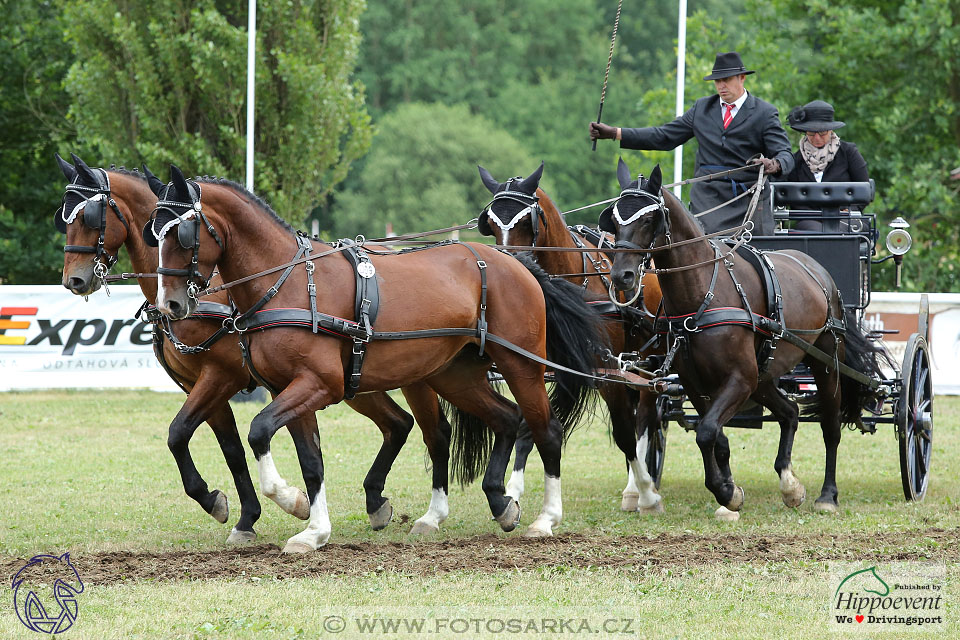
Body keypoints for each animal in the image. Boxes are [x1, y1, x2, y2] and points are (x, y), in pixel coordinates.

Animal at [53, 155, 454, 540]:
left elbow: (185, 433)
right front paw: (241, 513)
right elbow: (217, 445)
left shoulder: (222, 376)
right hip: (357, 381)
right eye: (64, 217)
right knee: (398, 423)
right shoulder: (201, 384)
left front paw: (237, 506)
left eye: (89, 217)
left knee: (433, 430)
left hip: (411, 375)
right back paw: (376, 501)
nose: (74, 280)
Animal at [151, 165, 604, 552]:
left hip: (520, 365)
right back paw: (499, 502)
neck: (289, 281)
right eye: (153, 232)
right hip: (454, 376)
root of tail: (516, 263)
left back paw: (545, 519)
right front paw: (314, 530)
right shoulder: (288, 389)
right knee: (507, 420)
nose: (170, 304)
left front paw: (291, 501)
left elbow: (259, 431)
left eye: (184, 232)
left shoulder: (318, 384)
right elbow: (311, 461)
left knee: (546, 430)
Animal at [474, 164, 664, 516]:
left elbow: (624, 433)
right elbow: (528, 426)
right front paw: (513, 490)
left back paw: (637, 487)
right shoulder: (539, 367)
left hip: (647, 361)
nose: (506, 269)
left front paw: (645, 493)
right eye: (490, 223)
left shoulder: (607, 372)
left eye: (527, 221)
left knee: (644, 418)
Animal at [608, 162, 884, 516]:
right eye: (614, 219)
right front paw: (729, 492)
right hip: (764, 375)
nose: (622, 276)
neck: (702, 293)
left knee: (830, 428)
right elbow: (715, 437)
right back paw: (789, 484)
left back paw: (827, 495)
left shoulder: (739, 379)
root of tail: (818, 271)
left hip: (825, 362)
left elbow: (707, 432)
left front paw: (726, 492)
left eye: (648, 218)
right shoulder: (698, 383)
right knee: (789, 413)